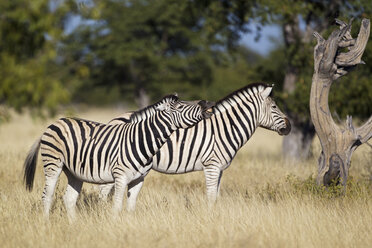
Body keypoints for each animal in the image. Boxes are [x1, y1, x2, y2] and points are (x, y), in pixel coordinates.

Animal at [23, 94, 214, 218]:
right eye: (181, 106)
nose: (207, 103)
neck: (141, 140)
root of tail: (55, 122)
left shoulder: (139, 179)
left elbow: (130, 207)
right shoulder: (120, 177)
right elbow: (116, 207)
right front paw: (116, 226)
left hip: (74, 172)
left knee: (69, 198)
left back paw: (73, 226)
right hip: (53, 164)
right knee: (47, 196)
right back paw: (46, 223)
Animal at [100, 83, 292, 205]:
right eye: (274, 107)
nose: (289, 126)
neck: (225, 127)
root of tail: (113, 120)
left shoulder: (220, 169)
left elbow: (217, 196)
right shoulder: (212, 166)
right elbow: (210, 196)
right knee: (103, 192)